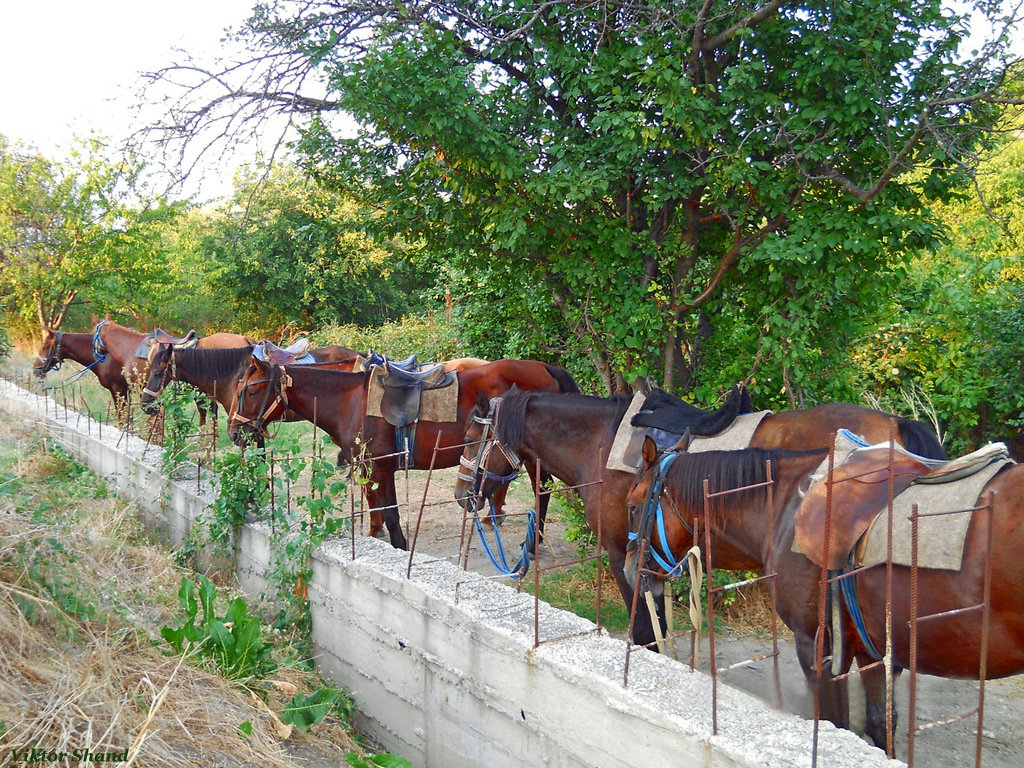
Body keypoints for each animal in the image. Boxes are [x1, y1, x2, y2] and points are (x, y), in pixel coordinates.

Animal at [228, 358, 577, 548]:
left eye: (252, 390)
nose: (234, 433)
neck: (348, 402)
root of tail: (546, 368)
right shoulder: (371, 469)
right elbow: (378, 507)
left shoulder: (382, 467)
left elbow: (392, 515)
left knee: (543, 492)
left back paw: (532, 543)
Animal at [452, 391, 946, 667]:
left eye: (473, 439)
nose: (461, 494)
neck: (598, 442)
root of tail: (896, 426)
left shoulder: (621, 553)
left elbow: (644, 631)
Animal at [622, 438, 1024, 753]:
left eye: (633, 505)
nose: (628, 570)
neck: (787, 508)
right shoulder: (874, 654)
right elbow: (880, 728)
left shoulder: (818, 648)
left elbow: (838, 726)